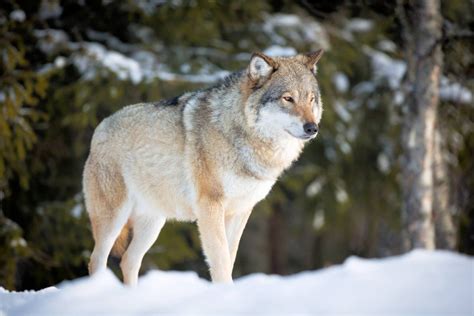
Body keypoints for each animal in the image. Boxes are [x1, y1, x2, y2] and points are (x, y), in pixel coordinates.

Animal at [83, 49, 324, 284]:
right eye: (288, 98)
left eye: (311, 99)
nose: (312, 128)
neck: (240, 133)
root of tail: (100, 127)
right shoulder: (210, 206)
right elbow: (221, 261)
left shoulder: (240, 211)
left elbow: (230, 257)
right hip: (114, 218)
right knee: (96, 260)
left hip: (153, 223)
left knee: (128, 261)